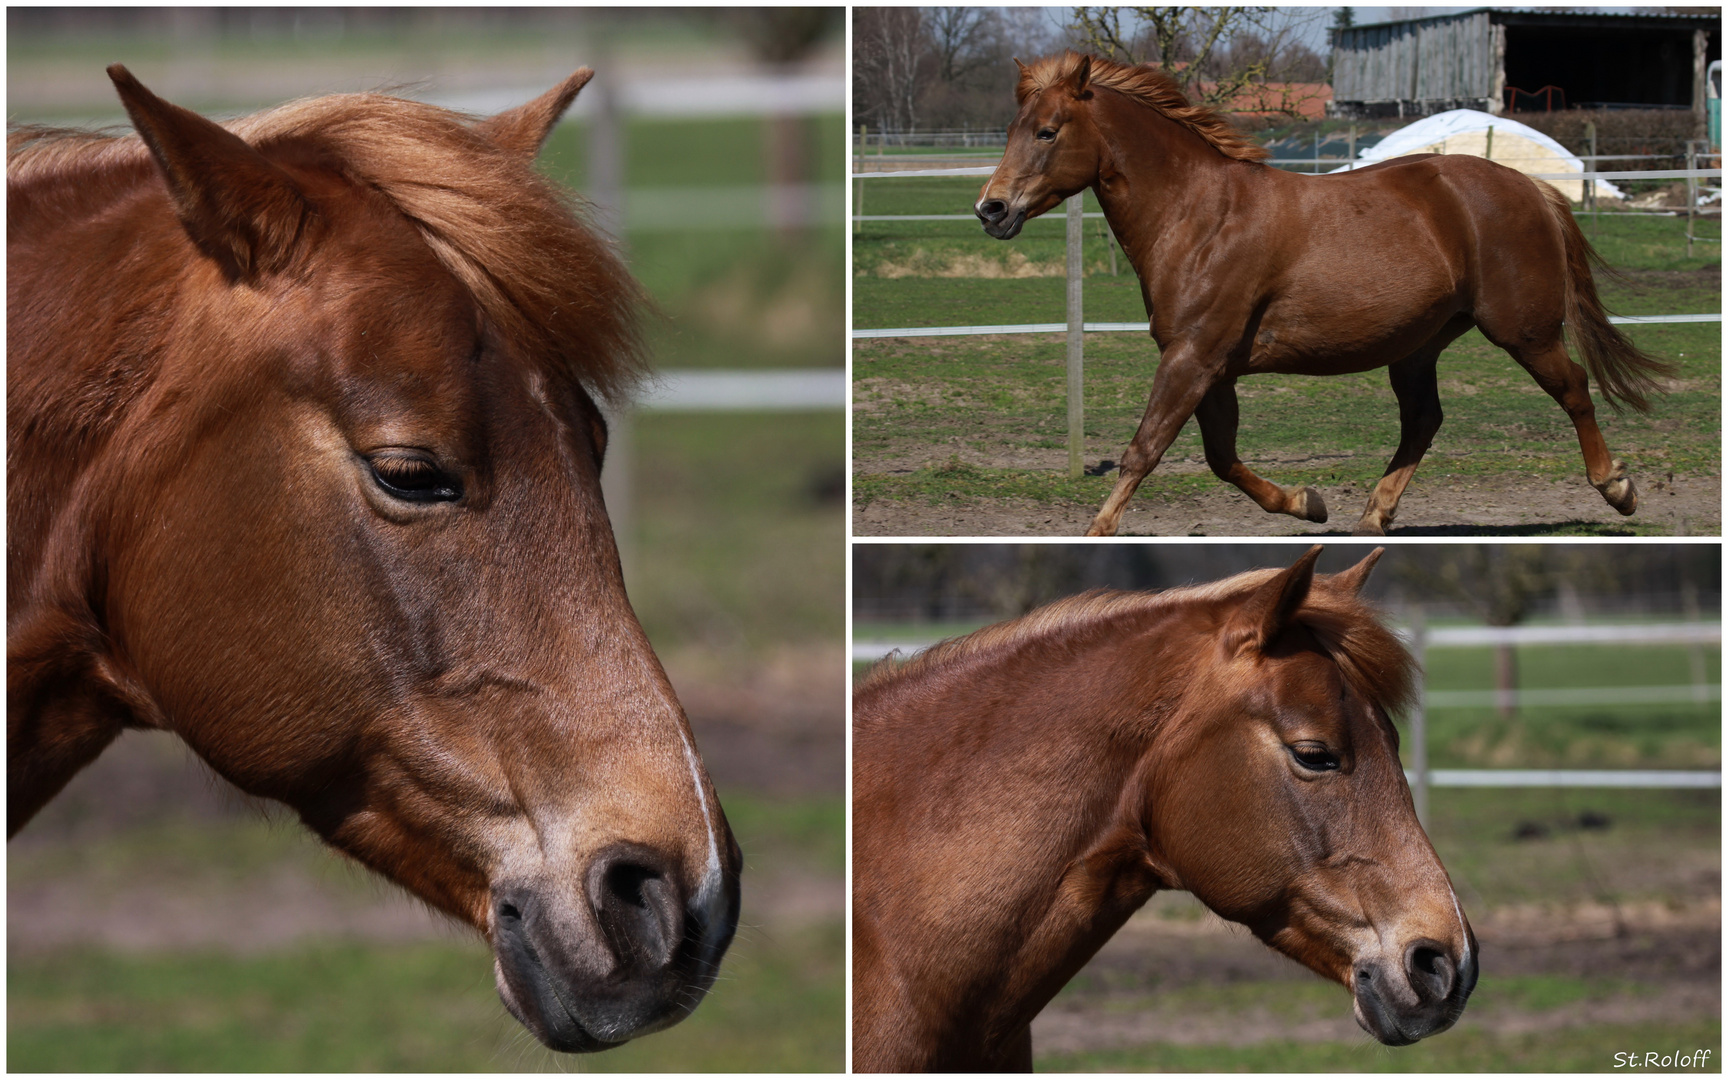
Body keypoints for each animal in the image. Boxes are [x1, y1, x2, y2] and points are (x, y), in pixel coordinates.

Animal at [981, 52, 1665, 535]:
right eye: (1012, 128)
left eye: (1047, 132)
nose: (992, 209)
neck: (1200, 216)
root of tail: (1531, 189)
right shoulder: (1211, 367)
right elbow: (1221, 457)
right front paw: (1309, 504)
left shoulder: (1192, 358)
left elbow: (1144, 450)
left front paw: (1097, 531)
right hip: (1417, 346)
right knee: (1424, 420)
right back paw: (1373, 514)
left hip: (1523, 330)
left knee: (1573, 388)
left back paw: (1617, 488)